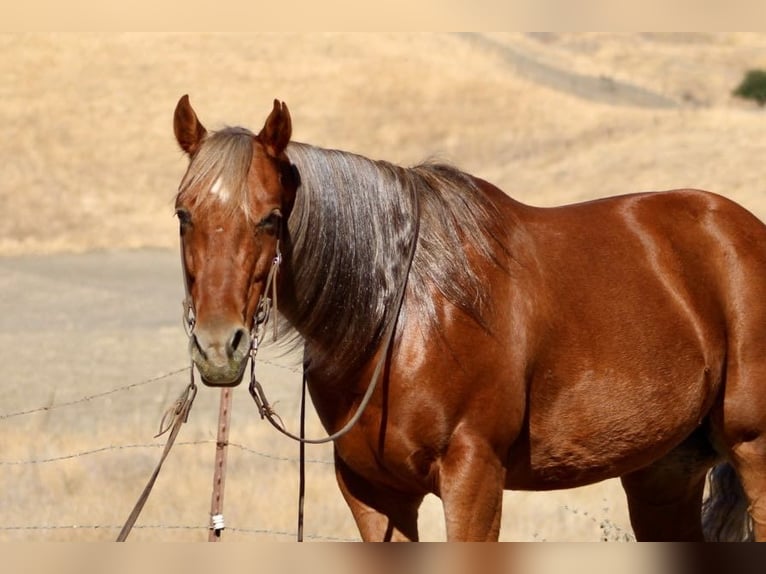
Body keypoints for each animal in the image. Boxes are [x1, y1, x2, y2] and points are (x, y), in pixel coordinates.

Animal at [171, 94, 766, 541]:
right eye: (183, 214)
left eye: (271, 219)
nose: (219, 346)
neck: (400, 319)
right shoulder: (375, 495)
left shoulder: (474, 477)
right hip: (663, 472)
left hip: (752, 449)